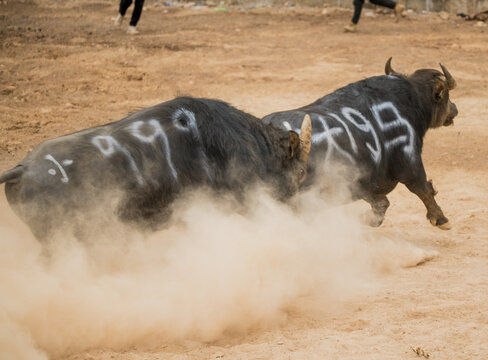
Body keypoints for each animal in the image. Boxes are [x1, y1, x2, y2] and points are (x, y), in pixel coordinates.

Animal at [264, 58, 458, 229]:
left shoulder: (363, 182)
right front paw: (441, 219)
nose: (455, 109)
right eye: (446, 96)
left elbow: (381, 203)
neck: (411, 101)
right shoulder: (409, 162)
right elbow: (423, 189)